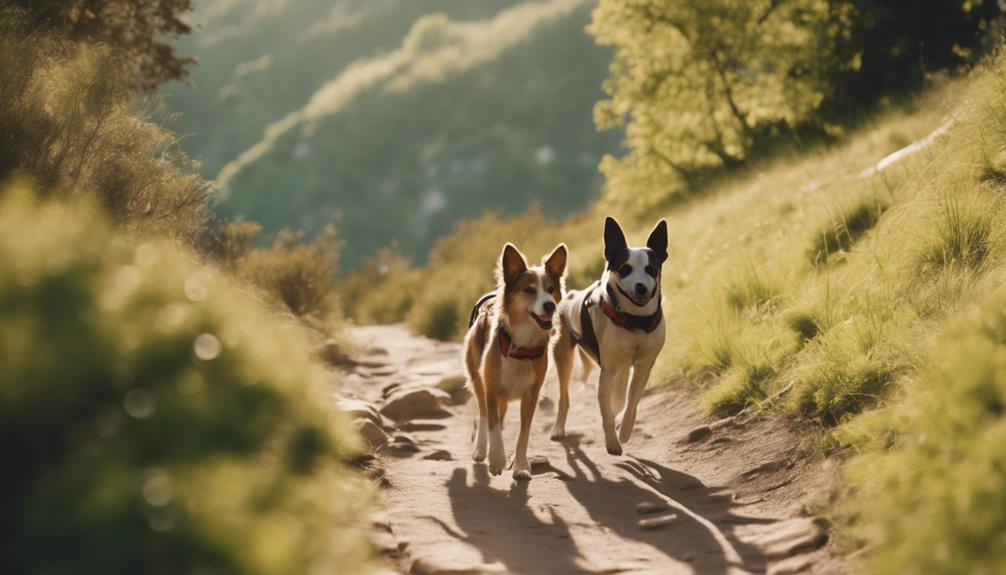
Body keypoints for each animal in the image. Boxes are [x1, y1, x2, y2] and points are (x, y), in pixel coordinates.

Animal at [462, 243, 567, 480]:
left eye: (550, 289)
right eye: (529, 290)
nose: (550, 306)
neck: (521, 346)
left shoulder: (531, 394)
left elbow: (523, 434)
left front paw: (520, 466)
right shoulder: (491, 388)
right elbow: (492, 425)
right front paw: (496, 459)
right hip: (477, 378)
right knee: (483, 414)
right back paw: (481, 449)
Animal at [551, 215, 667, 454]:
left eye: (651, 269)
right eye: (625, 269)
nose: (641, 287)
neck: (636, 321)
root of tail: (570, 296)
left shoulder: (643, 367)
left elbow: (631, 402)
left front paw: (624, 430)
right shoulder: (607, 371)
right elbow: (605, 412)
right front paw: (612, 441)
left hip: (622, 366)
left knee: (621, 394)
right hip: (564, 357)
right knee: (564, 397)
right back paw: (558, 428)